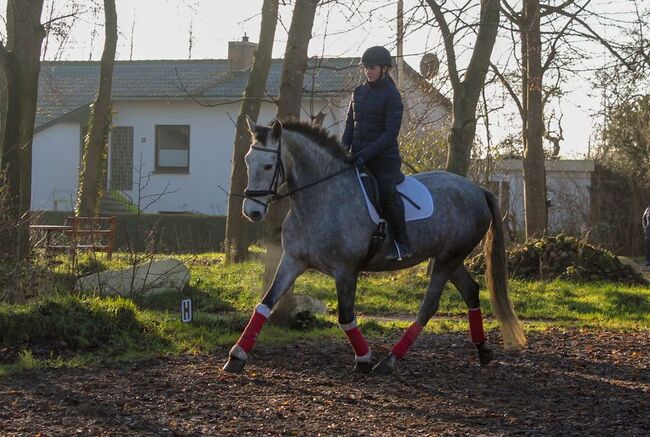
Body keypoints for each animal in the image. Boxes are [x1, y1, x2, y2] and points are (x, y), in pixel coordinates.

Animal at [223, 117, 528, 372]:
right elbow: (265, 304)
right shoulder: (293, 261)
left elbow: (346, 316)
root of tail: (477, 189)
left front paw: (364, 359)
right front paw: (236, 355)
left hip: (447, 259)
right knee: (470, 291)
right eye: (248, 160)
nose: (252, 211)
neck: (321, 198)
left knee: (429, 305)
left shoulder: (346, 270)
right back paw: (482, 351)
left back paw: (390, 359)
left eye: (268, 165)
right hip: (450, 258)